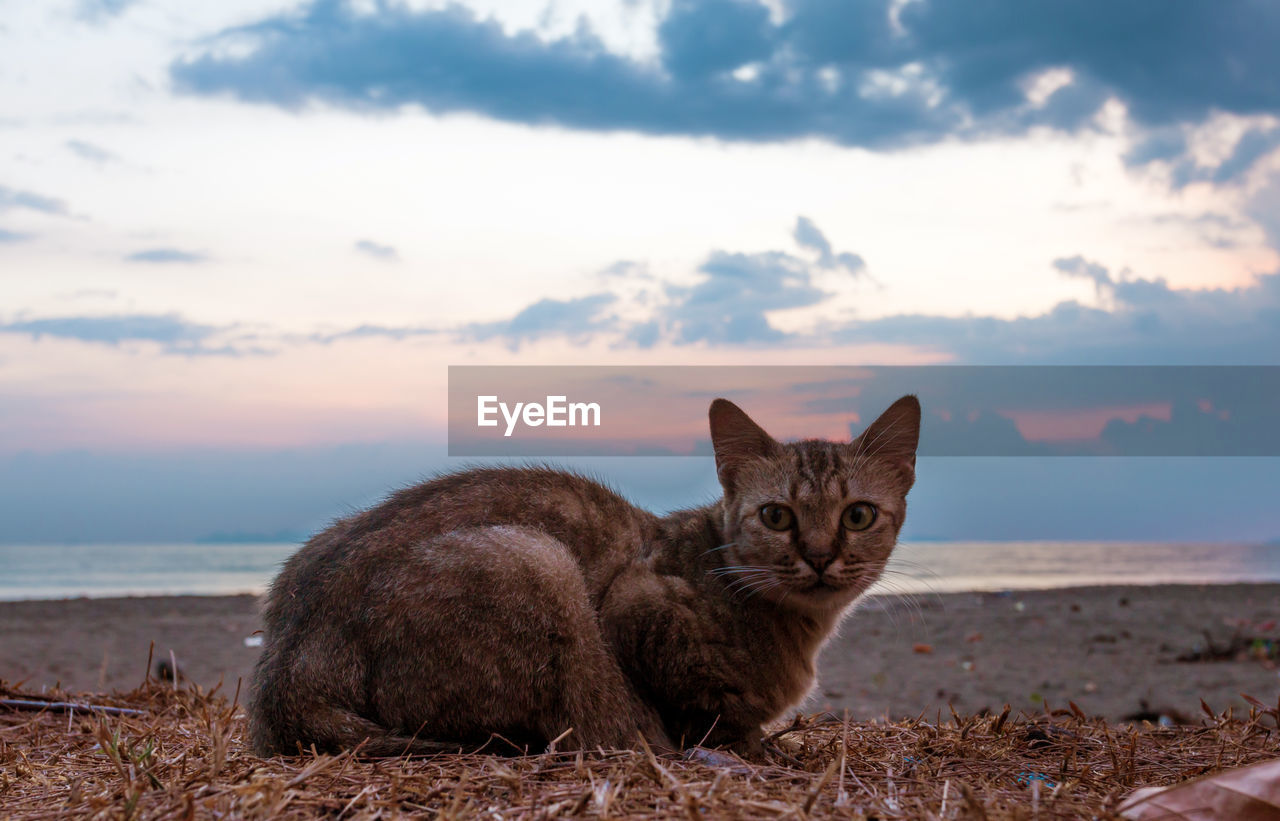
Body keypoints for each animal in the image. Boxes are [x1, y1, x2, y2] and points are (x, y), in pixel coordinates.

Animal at [247, 394, 921, 758]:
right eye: (776, 515)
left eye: (858, 514)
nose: (819, 554)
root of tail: (289, 666)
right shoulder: (635, 608)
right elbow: (707, 708)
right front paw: (752, 746)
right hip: (534, 561)